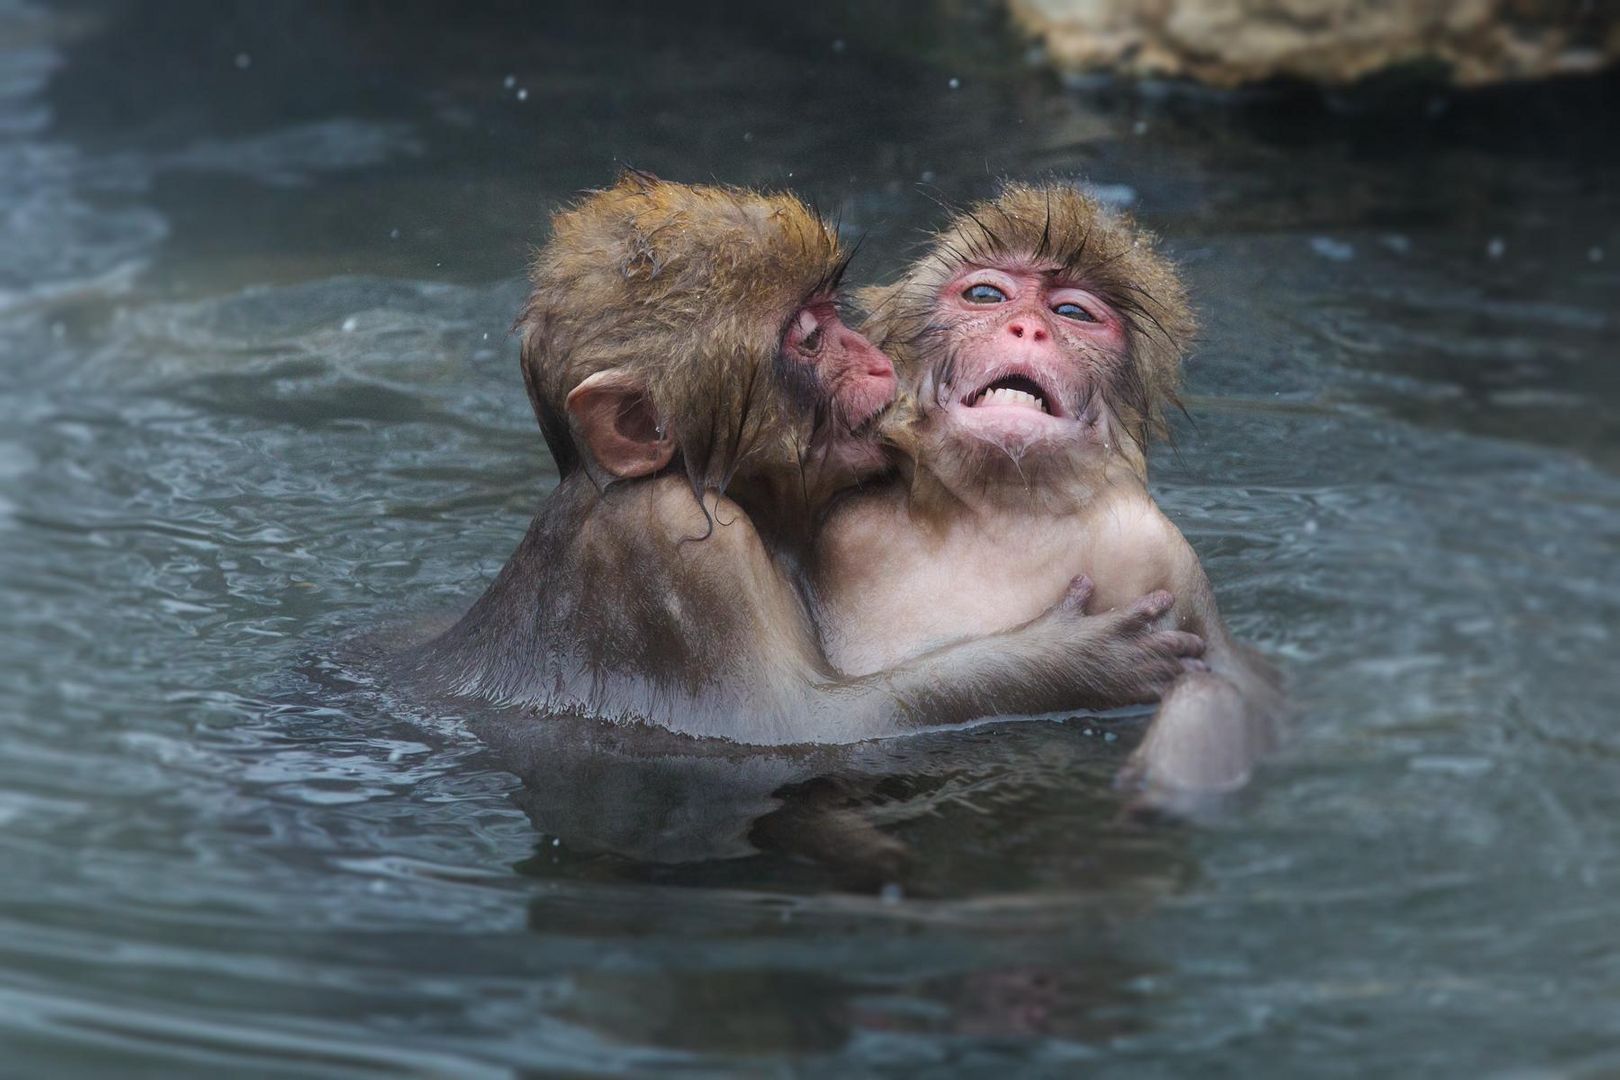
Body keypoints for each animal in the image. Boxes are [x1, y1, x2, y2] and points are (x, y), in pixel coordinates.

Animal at [401, 177, 1205, 748]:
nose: (870, 356)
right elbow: (796, 729)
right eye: (811, 339)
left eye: (1072, 314)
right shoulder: (672, 540)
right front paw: (1072, 658)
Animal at [816, 179, 1283, 803]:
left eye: (1072, 313)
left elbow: (1241, 686)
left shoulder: (1158, 548)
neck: (992, 514)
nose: (1029, 329)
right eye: (985, 294)